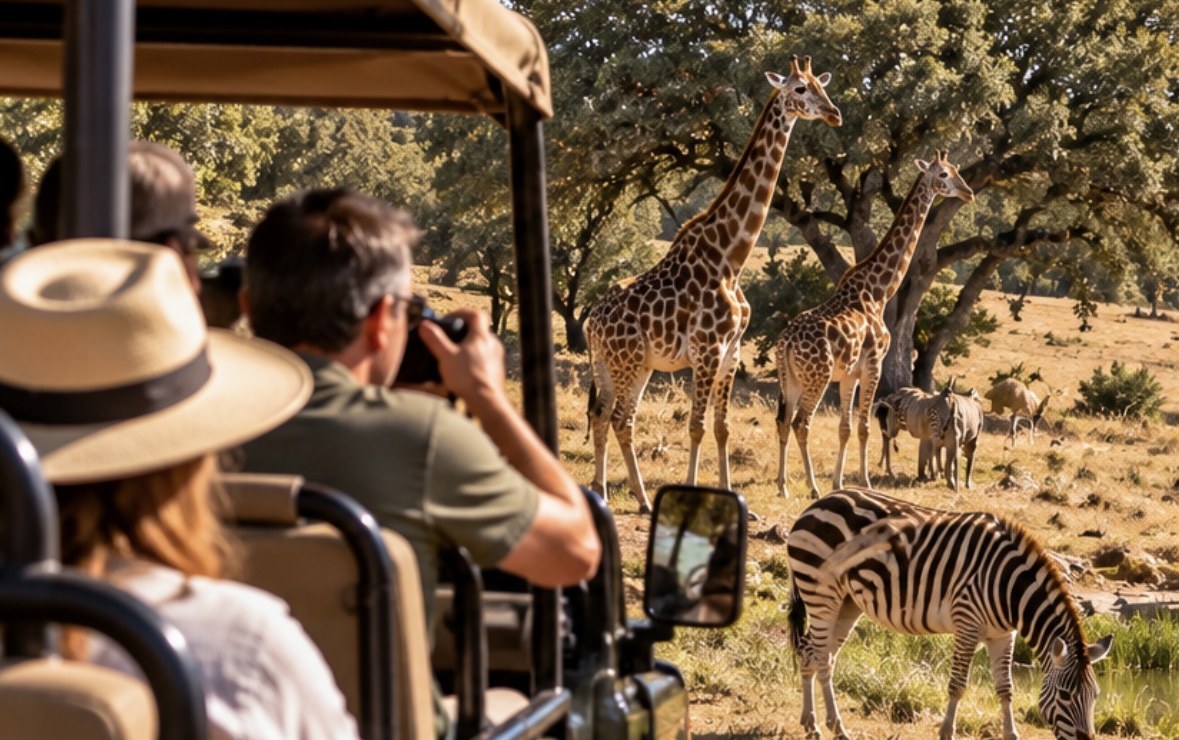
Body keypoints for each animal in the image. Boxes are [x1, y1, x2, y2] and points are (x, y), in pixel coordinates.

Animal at [585, 56, 842, 514]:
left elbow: (722, 428)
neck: (730, 258)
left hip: (623, 364)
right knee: (619, 418)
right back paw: (642, 499)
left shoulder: (731, 353)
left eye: (821, 85)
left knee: (604, 415)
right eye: (799, 89)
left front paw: (737, 500)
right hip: (627, 361)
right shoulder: (707, 351)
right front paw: (690, 495)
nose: (834, 113)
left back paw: (606, 492)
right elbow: (697, 425)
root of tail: (590, 322)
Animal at [774, 150, 974, 498]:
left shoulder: (849, 374)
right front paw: (864, 481)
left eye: (956, 170)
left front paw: (839, 481)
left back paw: (783, 486)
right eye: (944, 174)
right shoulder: (873, 364)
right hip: (817, 377)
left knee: (784, 422)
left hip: (791, 379)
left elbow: (845, 427)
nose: (968, 192)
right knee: (801, 423)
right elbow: (865, 427)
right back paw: (811, 487)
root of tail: (785, 343)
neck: (879, 290)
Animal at [787, 488, 1112, 740]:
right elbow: (957, 686)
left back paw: (812, 723)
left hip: (847, 602)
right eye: (1066, 696)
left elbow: (1005, 689)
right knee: (820, 657)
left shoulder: (1003, 634)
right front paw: (946, 732)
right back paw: (833, 727)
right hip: (821, 593)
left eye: (1095, 696)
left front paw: (1011, 734)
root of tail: (816, 503)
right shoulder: (967, 622)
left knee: (812, 652)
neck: (1009, 588)